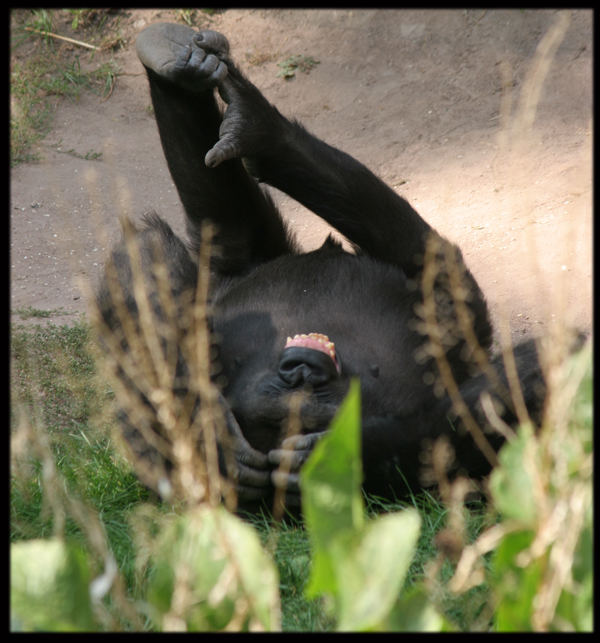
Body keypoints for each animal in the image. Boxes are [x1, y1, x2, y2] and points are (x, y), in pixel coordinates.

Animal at [97, 25, 548, 516]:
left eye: (313, 398)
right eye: (285, 398)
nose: (301, 374)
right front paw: (211, 438)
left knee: (227, 222)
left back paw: (245, 118)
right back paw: (216, 97)